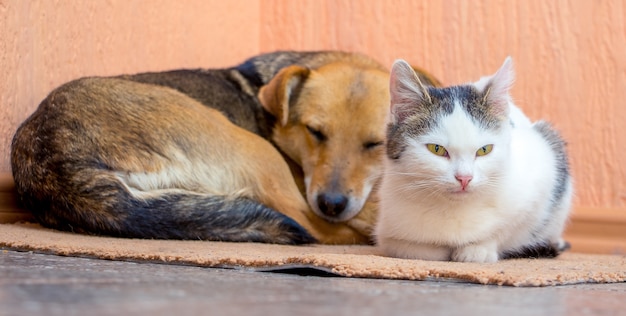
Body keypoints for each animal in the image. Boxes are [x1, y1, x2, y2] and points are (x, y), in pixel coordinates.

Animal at [9, 51, 438, 244]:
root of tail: (55, 164)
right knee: (311, 224)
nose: (332, 203)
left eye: (374, 144)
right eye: (315, 132)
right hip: (253, 149)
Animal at [372, 57, 572, 264]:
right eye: (437, 149)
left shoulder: (542, 173)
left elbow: (508, 229)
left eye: (484, 150)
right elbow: (412, 249)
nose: (464, 178)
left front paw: (479, 249)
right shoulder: (387, 230)